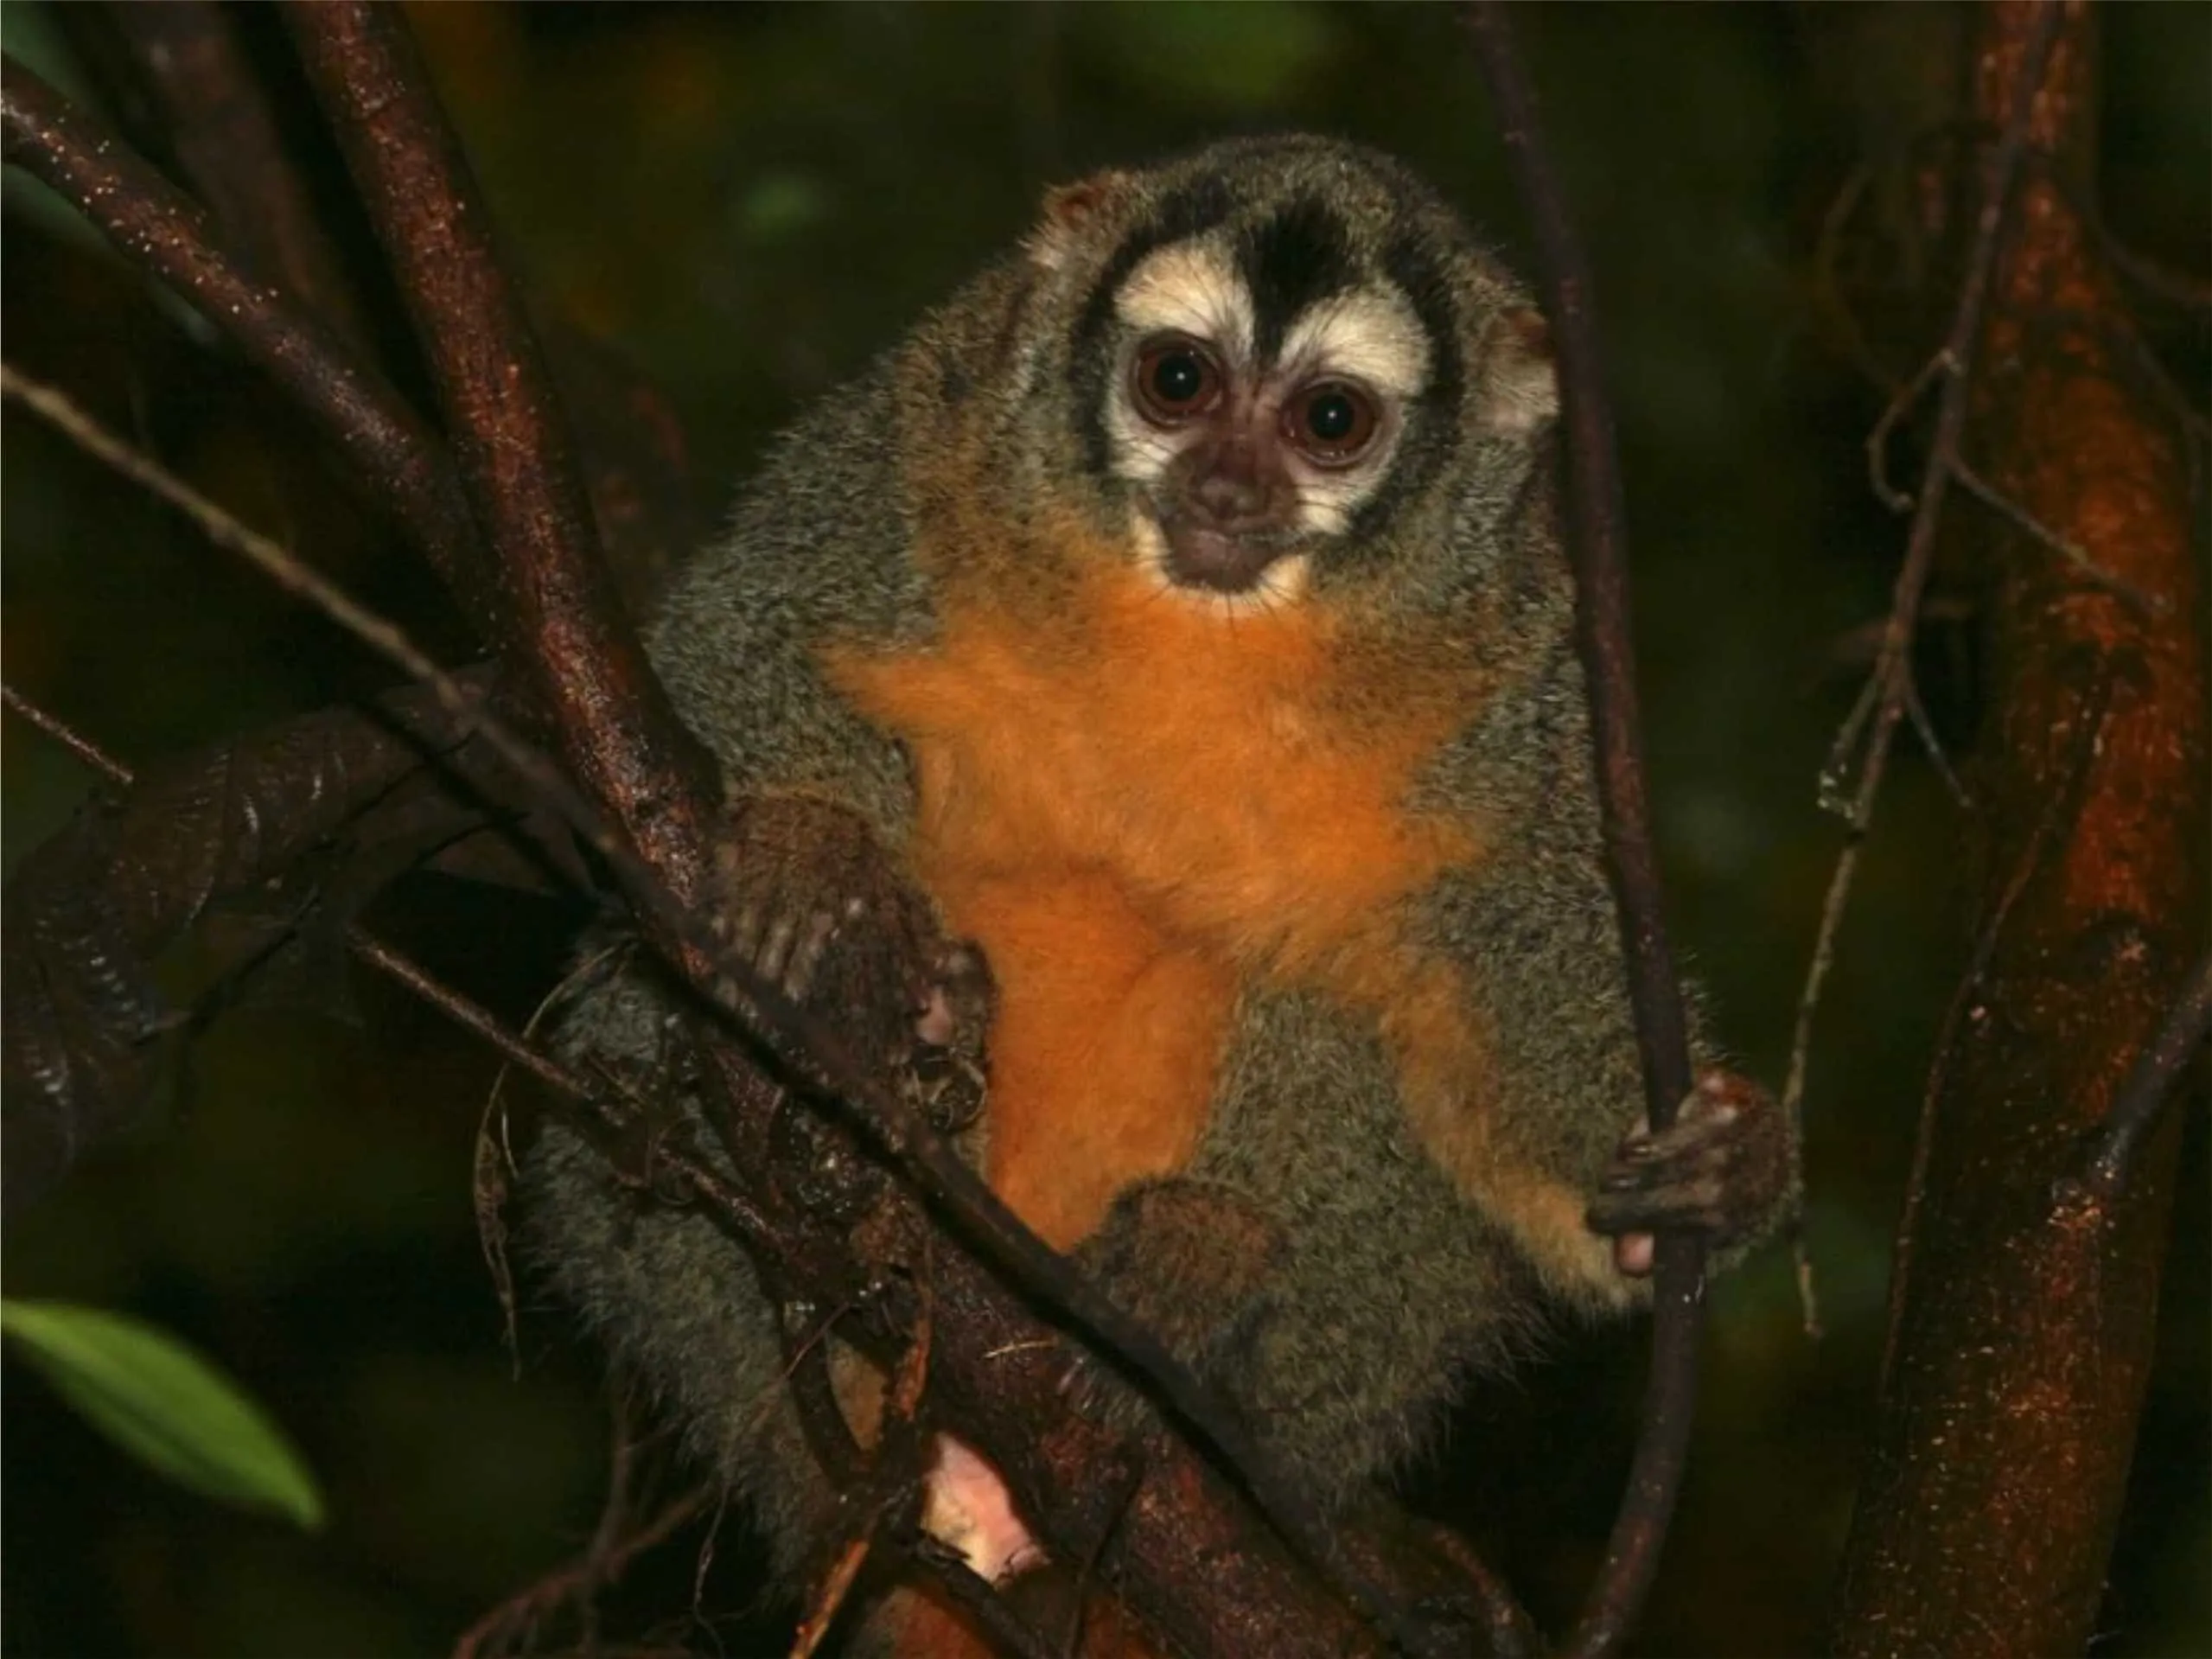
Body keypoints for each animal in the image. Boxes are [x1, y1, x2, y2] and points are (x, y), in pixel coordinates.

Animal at [525, 134, 1797, 1655]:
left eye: (1325, 419)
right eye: (1177, 381)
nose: (1227, 487)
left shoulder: (1517, 657)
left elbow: (1504, 919)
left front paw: (1706, 1178)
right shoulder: (920, 436)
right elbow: (746, 629)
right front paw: (808, 851)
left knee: (1357, 993)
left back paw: (1195, 1267)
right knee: (629, 1022)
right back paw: (892, 1054)